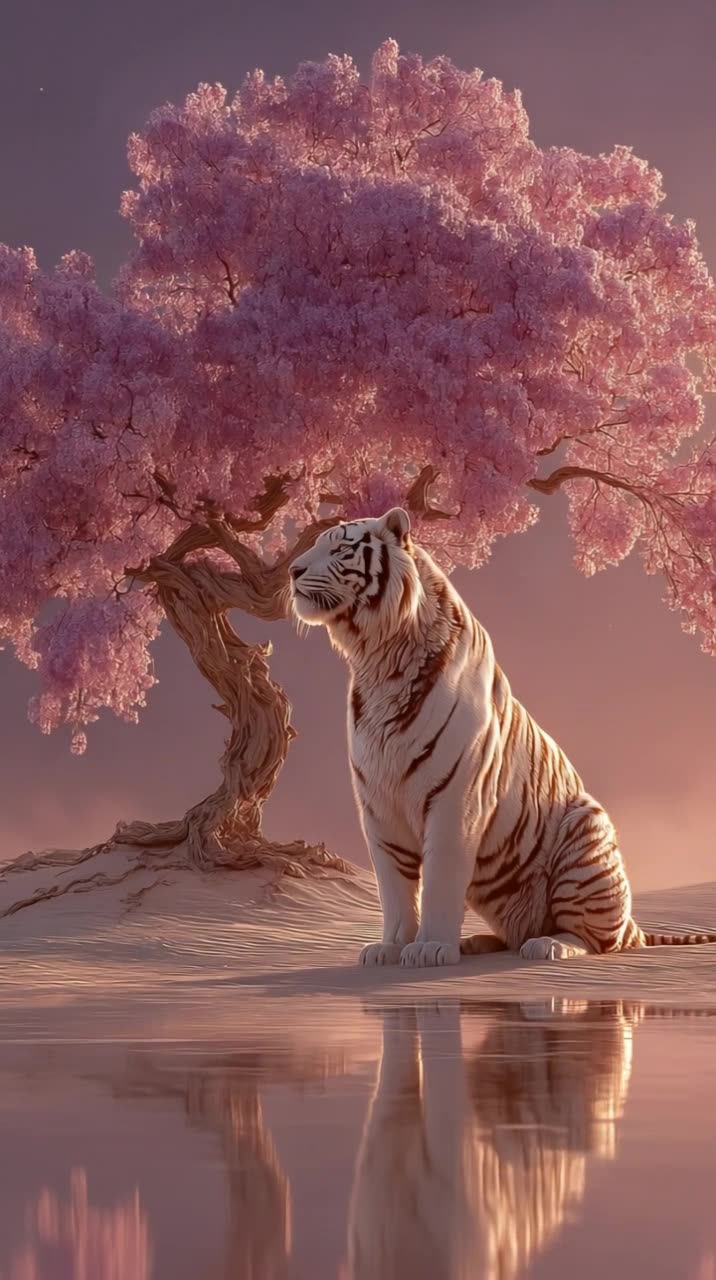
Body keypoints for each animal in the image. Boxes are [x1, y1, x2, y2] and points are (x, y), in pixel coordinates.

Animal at [289, 506, 716, 966]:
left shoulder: (455, 801)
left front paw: (430, 948)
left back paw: (548, 945)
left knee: (600, 940)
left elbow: (439, 880)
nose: (292, 570)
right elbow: (394, 888)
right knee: (515, 935)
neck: (377, 660)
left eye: (340, 548)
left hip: (587, 830)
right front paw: (391, 948)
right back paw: (475, 943)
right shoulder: (379, 808)